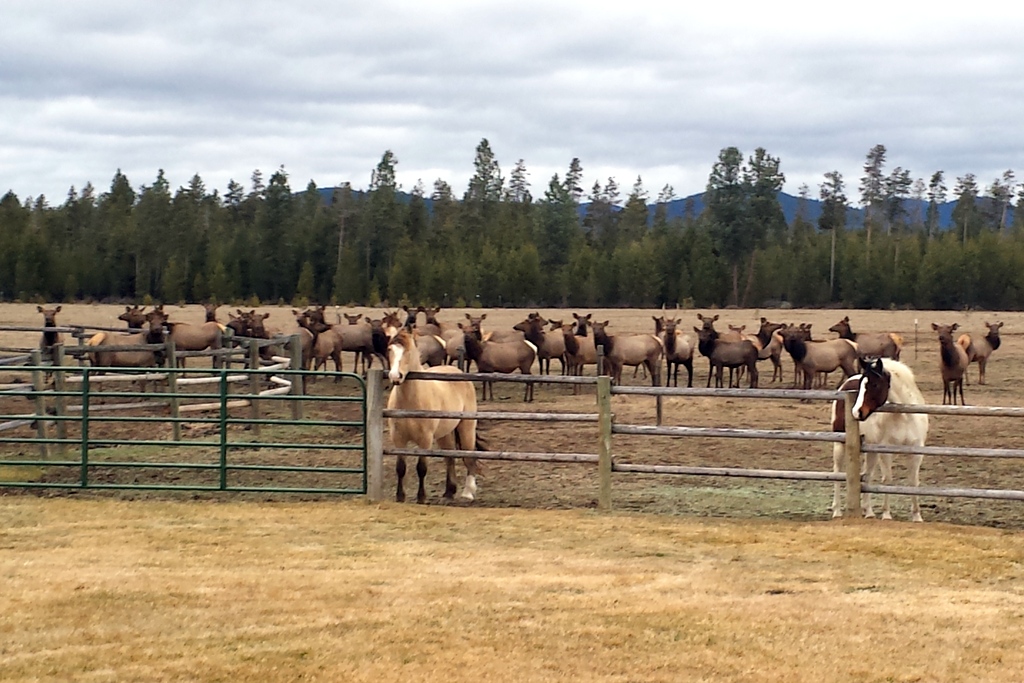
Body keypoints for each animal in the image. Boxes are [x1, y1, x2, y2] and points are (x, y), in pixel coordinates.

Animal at [385, 329, 481, 501]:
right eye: (390, 350)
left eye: (408, 351)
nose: (395, 376)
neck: (410, 402)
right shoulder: (398, 438)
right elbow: (400, 468)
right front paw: (400, 497)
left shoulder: (425, 439)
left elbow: (421, 468)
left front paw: (421, 497)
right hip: (444, 434)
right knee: (449, 457)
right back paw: (449, 491)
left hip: (467, 427)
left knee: (469, 455)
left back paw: (468, 492)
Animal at [831, 358, 929, 524]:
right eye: (861, 384)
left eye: (875, 385)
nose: (856, 412)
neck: (905, 416)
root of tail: (845, 385)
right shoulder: (885, 450)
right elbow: (887, 480)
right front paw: (886, 514)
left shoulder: (916, 450)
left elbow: (913, 482)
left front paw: (917, 516)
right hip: (840, 444)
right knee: (837, 472)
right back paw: (837, 511)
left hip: (871, 450)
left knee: (867, 475)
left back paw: (869, 512)